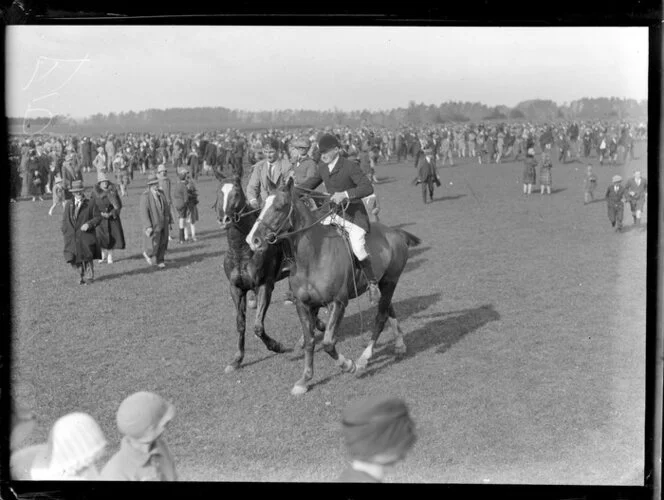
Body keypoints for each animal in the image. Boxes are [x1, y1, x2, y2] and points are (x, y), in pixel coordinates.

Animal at [214, 174, 294, 374]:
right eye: (219, 192)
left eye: (236, 192)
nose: (224, 219)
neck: (242, 250)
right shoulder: (236, 289)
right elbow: (240, 324)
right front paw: (237, 359)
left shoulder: (264, 286)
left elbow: (258, 326)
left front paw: (277, 346)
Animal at [246, 178, 422, 396]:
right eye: (262, 206)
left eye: (280, 206)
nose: (253, 240)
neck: (312, 257)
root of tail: (395, 232)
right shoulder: (303, 305)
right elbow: (310, 341)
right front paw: (304, 380)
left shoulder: (338, 302)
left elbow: (329, 342)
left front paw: (348, 365)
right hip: (383, 284)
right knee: (389, 309)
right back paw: (399, 344)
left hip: (391, 281)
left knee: (380, 317)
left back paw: (364, 358)